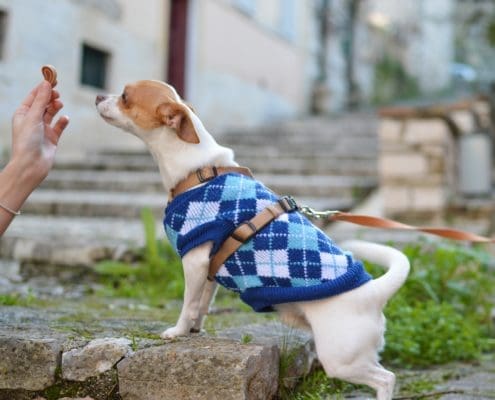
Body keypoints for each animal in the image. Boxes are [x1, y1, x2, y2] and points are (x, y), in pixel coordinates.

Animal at [96, 79, 410, 398]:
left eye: (125, 96)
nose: (98, 96)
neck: (199, 171)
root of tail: (374, 292)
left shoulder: (194, 262)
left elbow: (188, 304)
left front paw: (178, 331)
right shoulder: (209, 270)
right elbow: (202, 304)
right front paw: (196, 329)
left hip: (340, 359)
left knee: (386, 378)